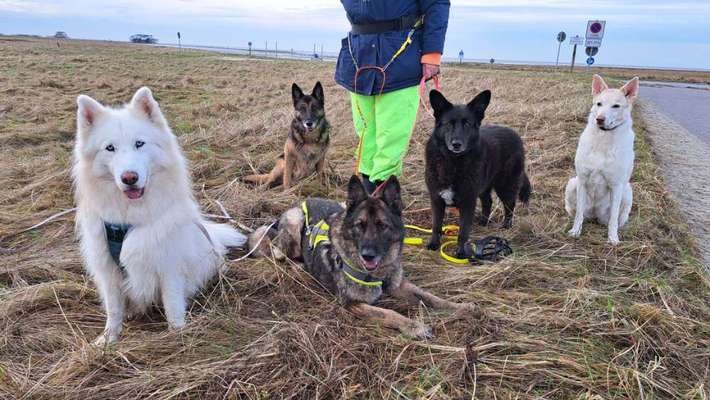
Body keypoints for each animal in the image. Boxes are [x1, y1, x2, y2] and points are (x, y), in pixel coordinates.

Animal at [74, 87, 248, 344]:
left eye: (139, 143)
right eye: (110, 148)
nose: (129, 178)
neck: (129, 219)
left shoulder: (169, 266)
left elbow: (172, 305)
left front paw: (178, 335)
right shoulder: (108, 271)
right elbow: (114, 309)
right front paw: (108, 340)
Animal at [426, 90, 532, 260]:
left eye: (467, 124)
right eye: (448, 123)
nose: (456, 144)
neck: (453, 162)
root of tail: (514, 134)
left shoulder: (468, 202)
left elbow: (463, 232)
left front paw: (461, 252)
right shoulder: (436, 199)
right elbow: (436, 226)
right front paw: (433, 244)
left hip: (506, 185)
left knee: (510, 206)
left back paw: (506, 226)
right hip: (484, 186)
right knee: (488, 201)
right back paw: (483, 221)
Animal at [568, 74, 640, 244]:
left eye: (616, 106)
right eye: (599, 104)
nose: (599, 119)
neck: (603, 139)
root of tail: (595, 215)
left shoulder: (616, 185)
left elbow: (613, 218)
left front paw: (613, 238)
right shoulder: (582, 180)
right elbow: (578, 213)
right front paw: (575, 231)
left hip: (627, 192)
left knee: (616, 219)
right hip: (572, 183)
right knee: (577, 212)